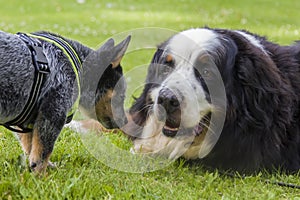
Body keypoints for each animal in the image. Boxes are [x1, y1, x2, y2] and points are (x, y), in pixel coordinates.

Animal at [0, 30, 131, 173]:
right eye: (121, 96)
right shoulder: (53, 113)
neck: (79, 68)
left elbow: (30, 149)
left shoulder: (27, 122)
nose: (126, 122)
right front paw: (41, 176)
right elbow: (42, 155)